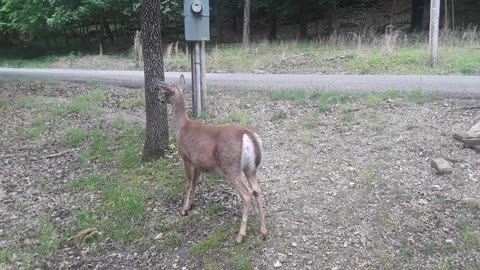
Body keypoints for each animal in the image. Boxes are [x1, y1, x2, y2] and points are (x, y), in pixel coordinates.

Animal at [157, 75, 266, 243]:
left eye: (166, 91)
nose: (159, 98)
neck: (182, 127)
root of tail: (248, 135)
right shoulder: (198, 162)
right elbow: (195, 182)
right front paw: (191, 204)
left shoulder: (186, 157)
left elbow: (188, 183)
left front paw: (183, 209)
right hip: (251, 168)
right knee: (257, 191)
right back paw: (263, 232)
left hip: (230, 166)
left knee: (247, 194)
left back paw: (240, 235)